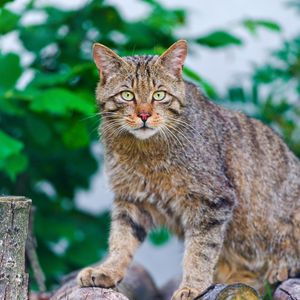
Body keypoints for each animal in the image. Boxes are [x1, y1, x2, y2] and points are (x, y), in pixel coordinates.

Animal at [76, 40, 300, 300]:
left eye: (159, 95)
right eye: (127, 95)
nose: (144, 114)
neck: (145, 152)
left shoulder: (212, 201)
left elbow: (200, 251)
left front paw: (193, 286)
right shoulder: (130, 199)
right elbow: (121, 240)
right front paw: (108, 270)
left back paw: (283, 266)